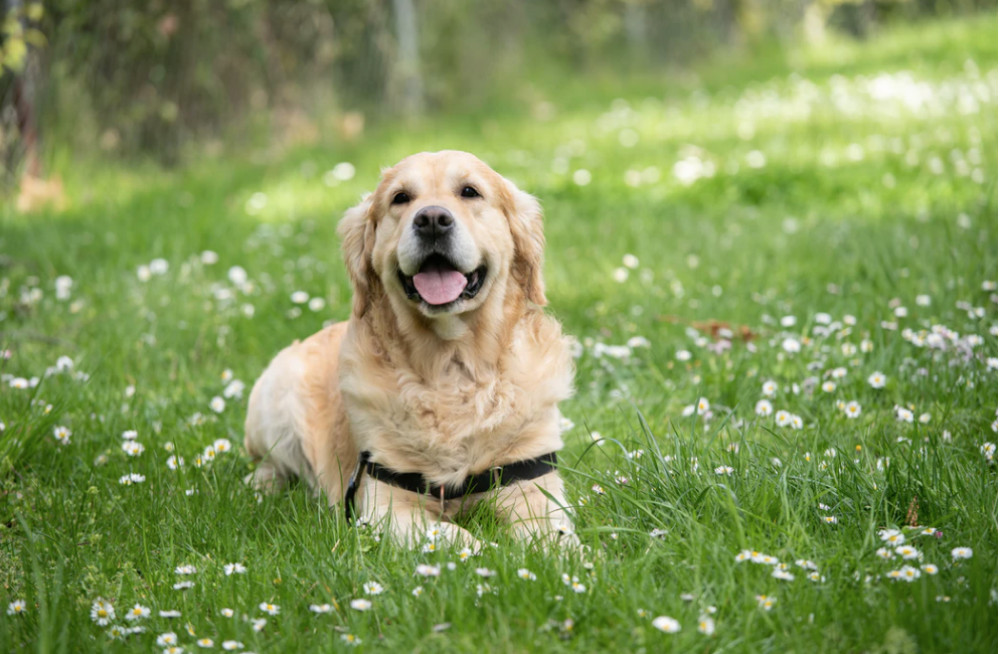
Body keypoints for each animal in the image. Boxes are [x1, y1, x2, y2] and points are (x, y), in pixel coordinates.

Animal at [244, 150, 580, 548]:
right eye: (400, 198)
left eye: (470, 191)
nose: (432, 219)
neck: (452, 365)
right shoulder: (386, 505)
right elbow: (459, 538)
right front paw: (492, 553)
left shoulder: (533, 485)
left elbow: (556, 537)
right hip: (275, 396)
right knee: (269, 464)